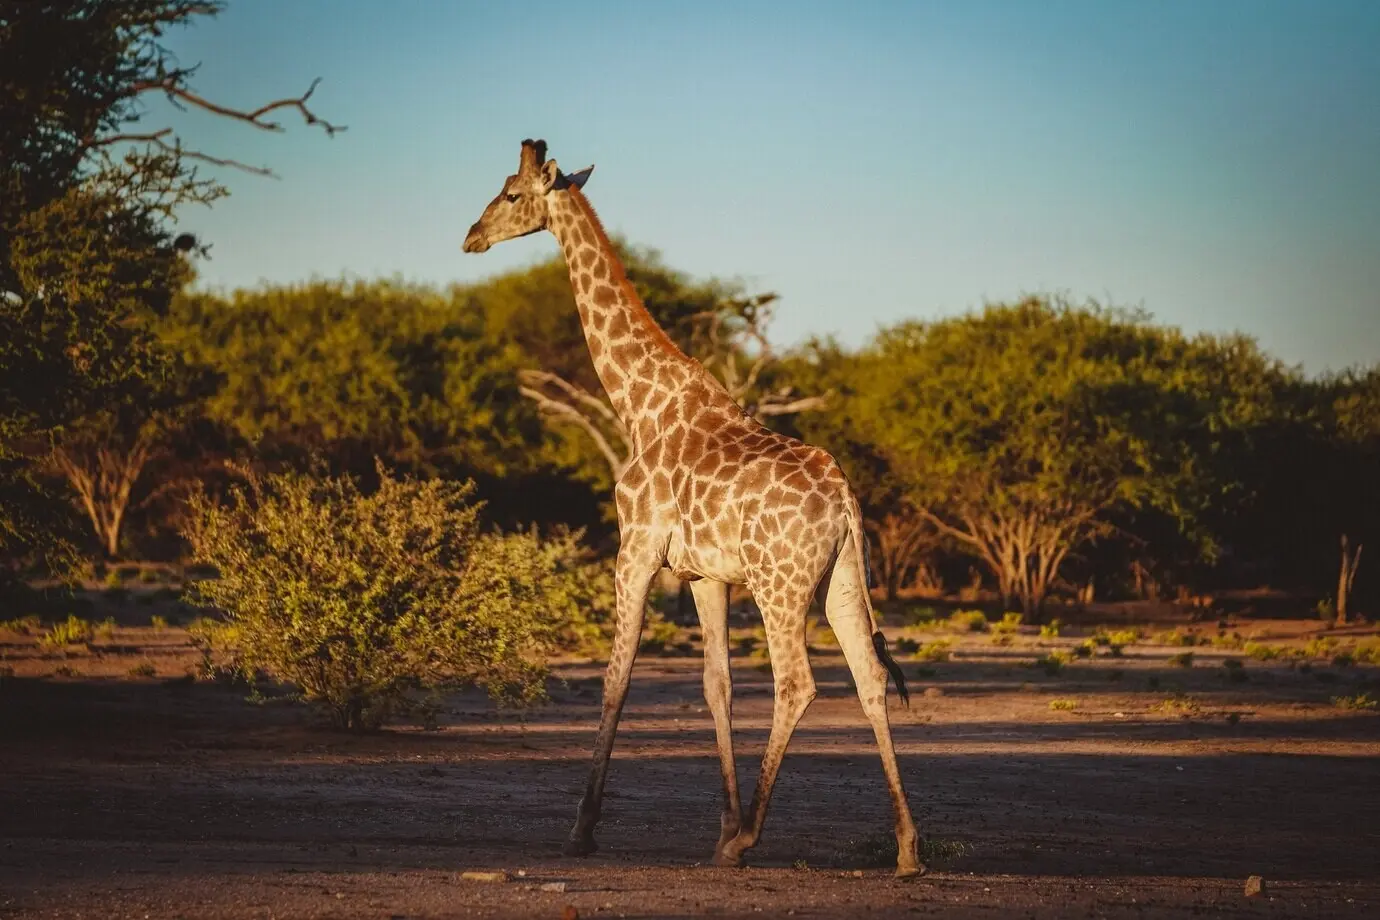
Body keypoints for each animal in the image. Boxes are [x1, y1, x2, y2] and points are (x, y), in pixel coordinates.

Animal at [462, 139, 924, 878]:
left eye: (509, 194)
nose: (471, 237)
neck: (638, 403)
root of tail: (846, 501)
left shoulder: (635, 552)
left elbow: (616, 681)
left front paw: (583, 829)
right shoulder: (706, 575)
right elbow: (716, 685)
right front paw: (718, 826)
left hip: (780, 583)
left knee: (798, 684)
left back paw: (750, 840)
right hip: (842, 580)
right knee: (871, 677)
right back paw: (906, 848)